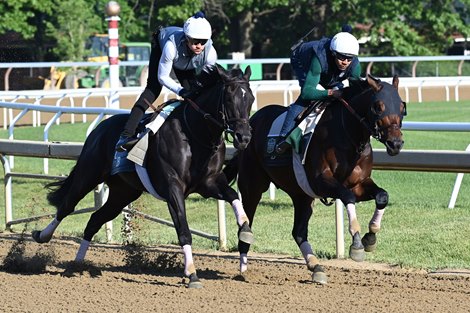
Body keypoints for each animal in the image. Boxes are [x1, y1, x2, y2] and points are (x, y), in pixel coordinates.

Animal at [33, 65, 255, 288]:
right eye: (229, 98)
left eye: (251, 99)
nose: (244, 137)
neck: (195, 134)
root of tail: (98, 130)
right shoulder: (172, 188)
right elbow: (184, 231)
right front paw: (192, 274)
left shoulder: (208, 183)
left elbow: (233, 196)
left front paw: (245, 230)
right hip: (88, 175)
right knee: (67, 206)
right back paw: (42, 235)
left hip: (123, 192)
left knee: (94, 220)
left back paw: (77, 264)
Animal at [223, 75, 404, 282]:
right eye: (378, 106)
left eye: (402, 106)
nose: (395, 143)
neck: (348, 136)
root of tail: (251, 123)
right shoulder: (321, 182)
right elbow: (348, 198)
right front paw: (357, 243)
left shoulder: (357, 184)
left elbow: (382, 196)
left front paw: (370, 236)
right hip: (252, 186)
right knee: (246, 225)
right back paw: (244, 267)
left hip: (301, 194)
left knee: (299, 232)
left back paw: (316, 266)